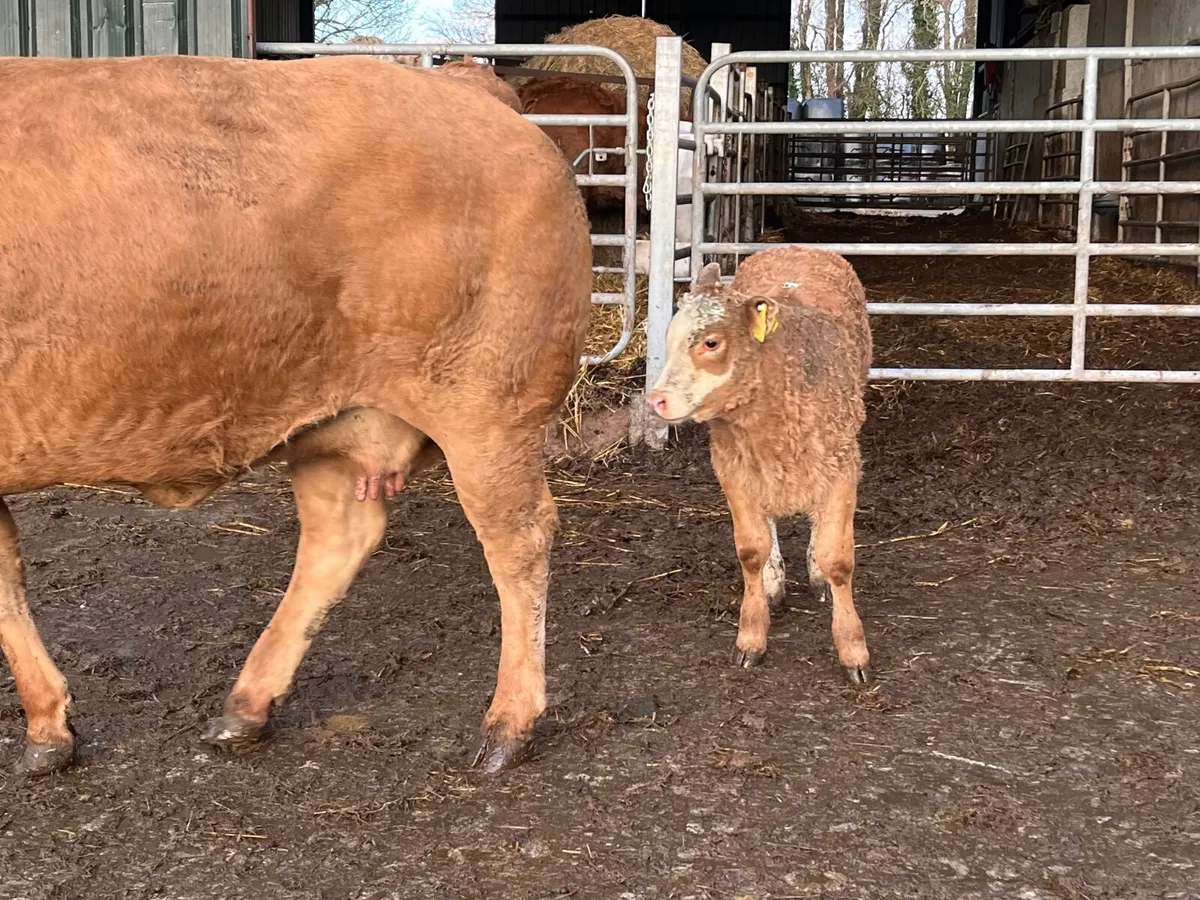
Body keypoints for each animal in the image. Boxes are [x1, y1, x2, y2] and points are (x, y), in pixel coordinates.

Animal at [0, 53, 593, 776]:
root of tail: (464, 85)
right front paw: (48, 726)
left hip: (488, 413)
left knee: (518, 540)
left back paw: (509, 722)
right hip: (336, 425)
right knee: (339, 538)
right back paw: (246, 706)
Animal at [646, 248, 874, 684]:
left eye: (711, 342)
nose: (656, 401)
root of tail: (795, 249)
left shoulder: (842, 467)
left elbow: (837, 560)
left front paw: (853, 648)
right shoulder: (733, 469)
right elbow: (751, 550)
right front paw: (752, 635)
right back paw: (773, 580)